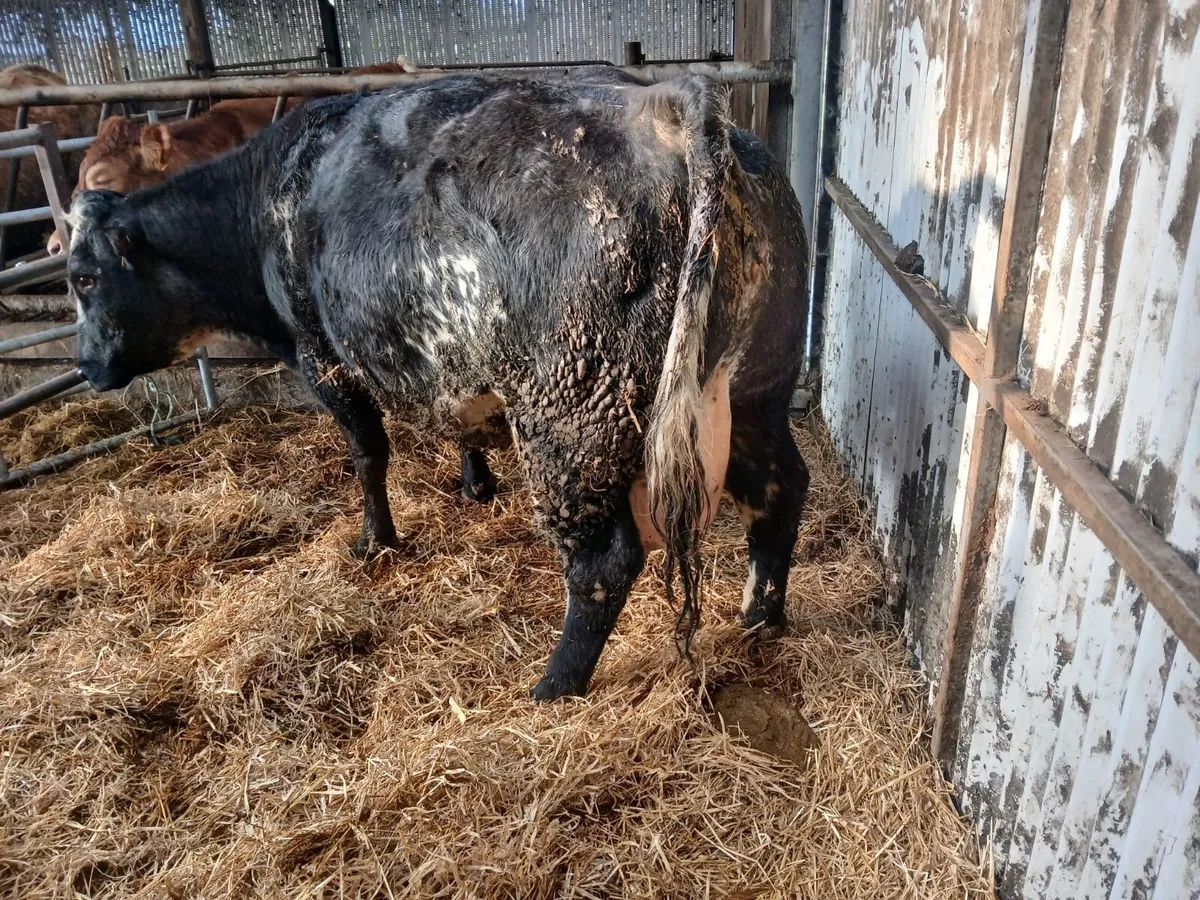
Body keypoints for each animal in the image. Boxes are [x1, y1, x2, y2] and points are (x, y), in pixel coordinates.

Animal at [66, 70, 810, 701]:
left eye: (84, 278)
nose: (85, 365)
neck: (264, 202)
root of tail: (665, 102)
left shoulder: (323, 358)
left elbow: (368, 455)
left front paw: (375, 541)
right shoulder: (445, 359)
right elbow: (459, 421)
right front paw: (475, 483)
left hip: (571, 418)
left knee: (603, 561)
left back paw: (555, 685)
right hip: (755, 393)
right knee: (782, 489)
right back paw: (758, 617)